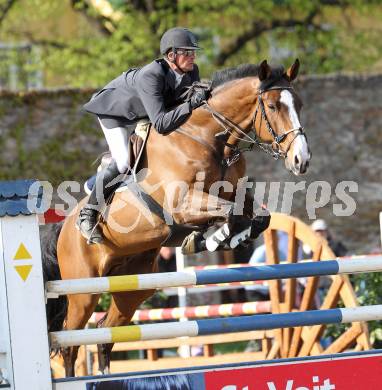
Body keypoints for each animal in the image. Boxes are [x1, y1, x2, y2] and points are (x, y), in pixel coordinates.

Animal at [43, 59, 310, 376]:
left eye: (299, 104)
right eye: (271, 106)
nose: (301, 161)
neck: (211, 139)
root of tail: (62, 229)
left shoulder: (235, 192)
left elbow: (258, 217)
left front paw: (217, 237)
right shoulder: (183, 203)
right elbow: (229, 213)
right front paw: (212, 238)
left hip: (133, 286)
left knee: (105, 333)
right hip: (83, 290)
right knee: (69, 344)